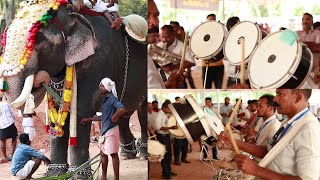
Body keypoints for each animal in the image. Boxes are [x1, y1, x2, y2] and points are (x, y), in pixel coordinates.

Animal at [0, 2, 147, 179]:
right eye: (5, 38)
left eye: (39, 38)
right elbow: (58, 111)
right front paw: (54, 174)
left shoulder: (98, 62)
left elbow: (80, 112)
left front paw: (79, 175)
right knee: (123, 111)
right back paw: (127, 154)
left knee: (142, 111)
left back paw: (143, 154)